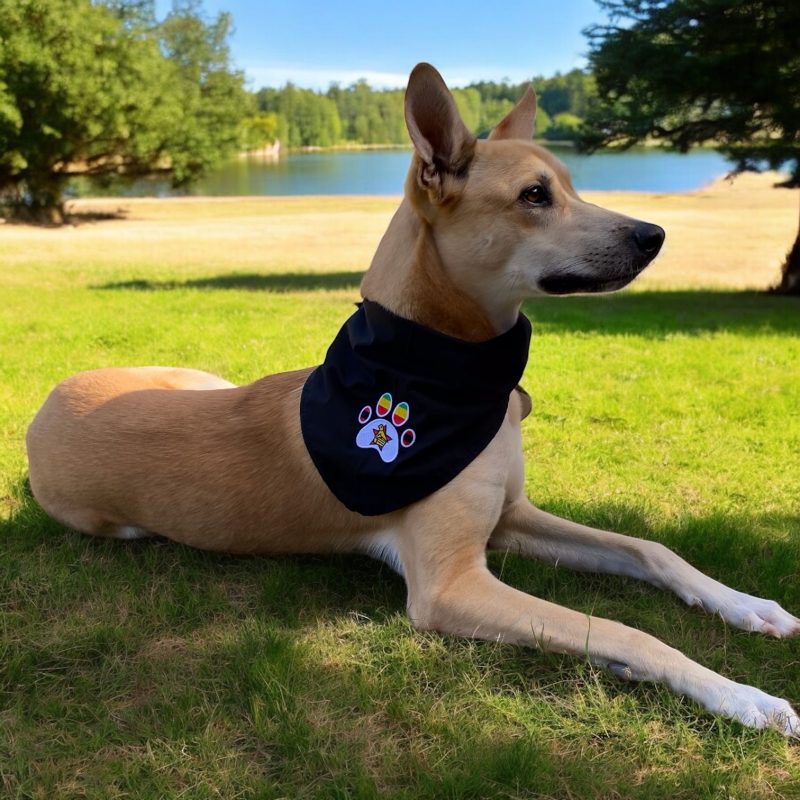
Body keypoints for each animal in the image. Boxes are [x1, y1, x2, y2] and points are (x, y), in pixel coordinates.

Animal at [26, 62, 800, 736]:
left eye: (572, 185)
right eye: (534, 196)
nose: (655, 234)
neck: (448, 371)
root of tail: (44, 406)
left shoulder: (510, 516)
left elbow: (649, 547)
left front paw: (748, 606)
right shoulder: (450, 585)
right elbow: (621, 629)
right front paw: (744, 697)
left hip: (198, 378)